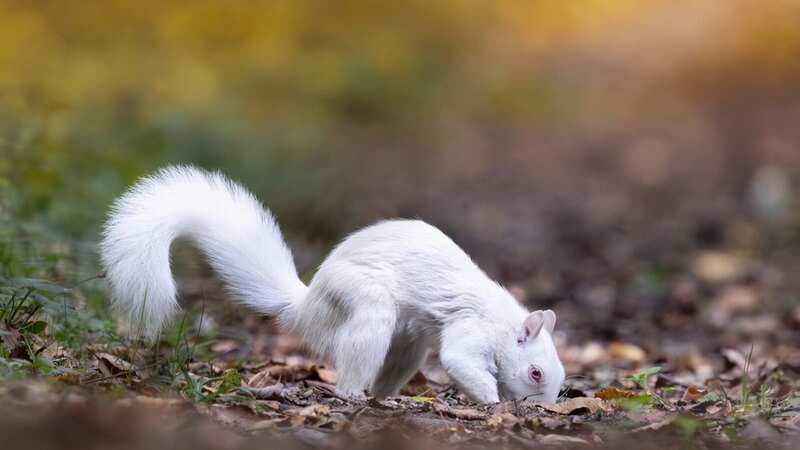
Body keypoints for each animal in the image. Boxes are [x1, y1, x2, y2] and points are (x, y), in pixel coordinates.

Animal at [100, 166, 565, 404]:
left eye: (561, 377)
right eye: (536, 372)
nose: (539, 410)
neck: (504, 323)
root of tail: (308, 305)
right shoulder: (472, 327)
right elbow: (461, 360)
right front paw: (491, 400)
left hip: (408, 340)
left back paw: (383, 398)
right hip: (363, 300)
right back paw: (352, 395)